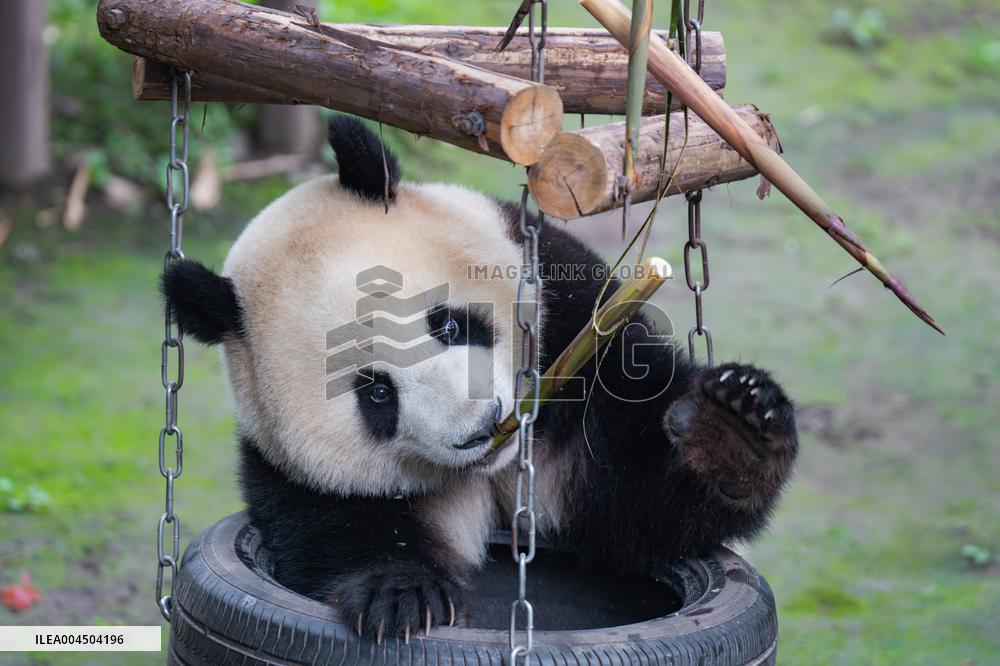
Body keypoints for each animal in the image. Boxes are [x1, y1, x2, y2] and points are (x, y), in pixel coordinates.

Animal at [163, 115, 798, 639]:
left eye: (446, 323)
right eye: (376, 393)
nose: (481, 427)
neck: (494, 467)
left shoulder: (571, 319)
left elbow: (638, 504)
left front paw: (729, 436)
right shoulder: (287, 466)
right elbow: (330, 529)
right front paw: (402, 595)